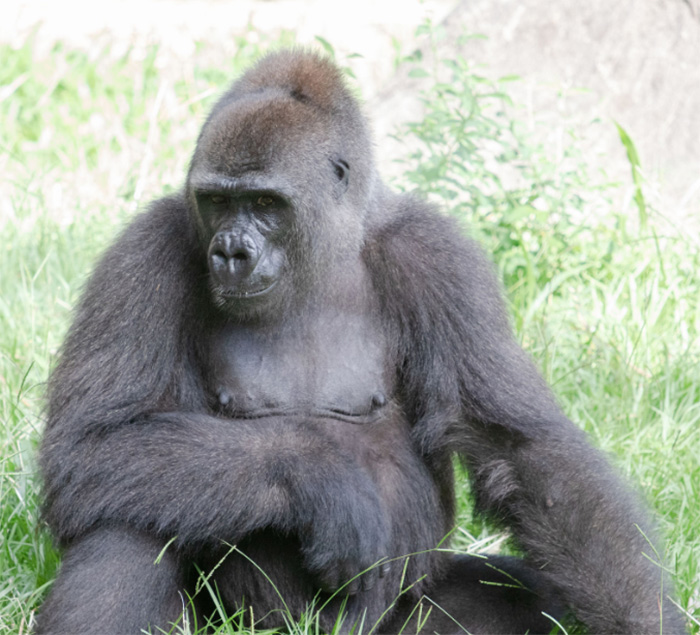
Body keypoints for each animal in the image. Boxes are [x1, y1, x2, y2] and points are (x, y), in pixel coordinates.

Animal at [37, 51, 684, 635]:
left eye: (265, 203)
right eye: (218, 201)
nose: (231, 251)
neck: (325, 248)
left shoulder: (440, 259)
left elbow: (525, 455)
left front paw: (646, 619)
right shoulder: (144, 253)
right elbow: (88, 444)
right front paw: (327, 488)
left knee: (525, 594)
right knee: (124, 510)